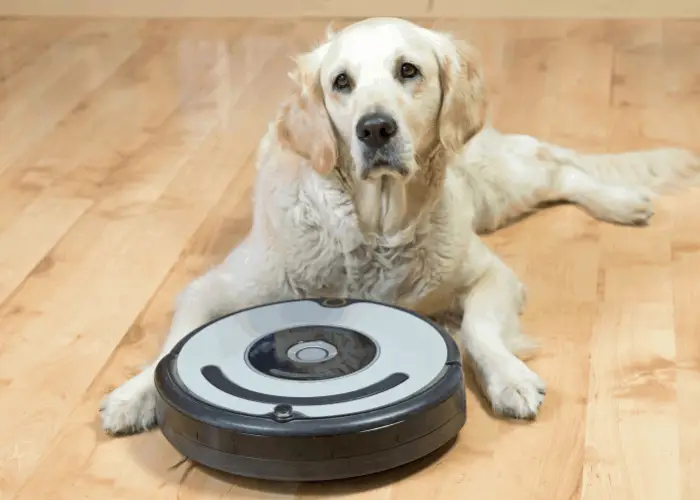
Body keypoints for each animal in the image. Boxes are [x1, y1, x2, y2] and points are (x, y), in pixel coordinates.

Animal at [100, 17, 700, 436]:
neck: (377, 230)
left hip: (500, 183)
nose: (375, 128)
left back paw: (622, 202)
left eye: (408, 70)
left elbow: (479, 330)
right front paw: (134, 394)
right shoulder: (213, 288)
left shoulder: (490, 275)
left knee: (562, 168)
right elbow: (170, 348)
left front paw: (508, 378)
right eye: (341, 82)